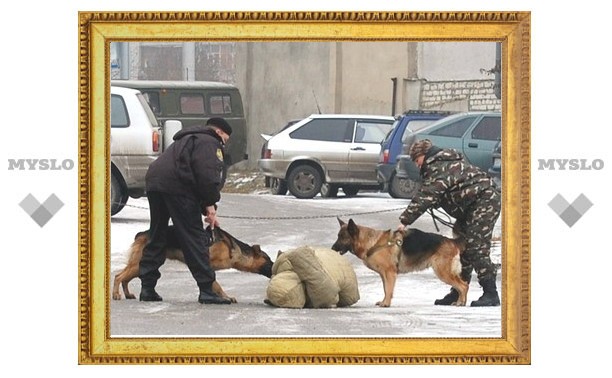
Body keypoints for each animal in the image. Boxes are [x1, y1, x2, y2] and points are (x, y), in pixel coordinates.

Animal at [112, 226, 272, 302]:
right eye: (269, 260)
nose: (275, 266)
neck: (232, 249)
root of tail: (142, 233)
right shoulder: (206, 266)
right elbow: (216, 284)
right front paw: (224, 297)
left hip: (139, 266)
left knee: (124, 278)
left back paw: (127, 294)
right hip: (139, 265)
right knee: (118, 276)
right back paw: (116, 294)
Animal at [332, 219, 466, 308]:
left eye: (342, 237)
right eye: (338, 236)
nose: (332, 248)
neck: (372, 243)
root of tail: (451, 241)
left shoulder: (390, 273)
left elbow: (388, 289)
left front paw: (386, 304)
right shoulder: (384, 275)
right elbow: (386, 289)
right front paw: (384, 302)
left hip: (442, 272)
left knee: (463, 286)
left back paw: (461, 303)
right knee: (463, 285)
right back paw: (461, 301)